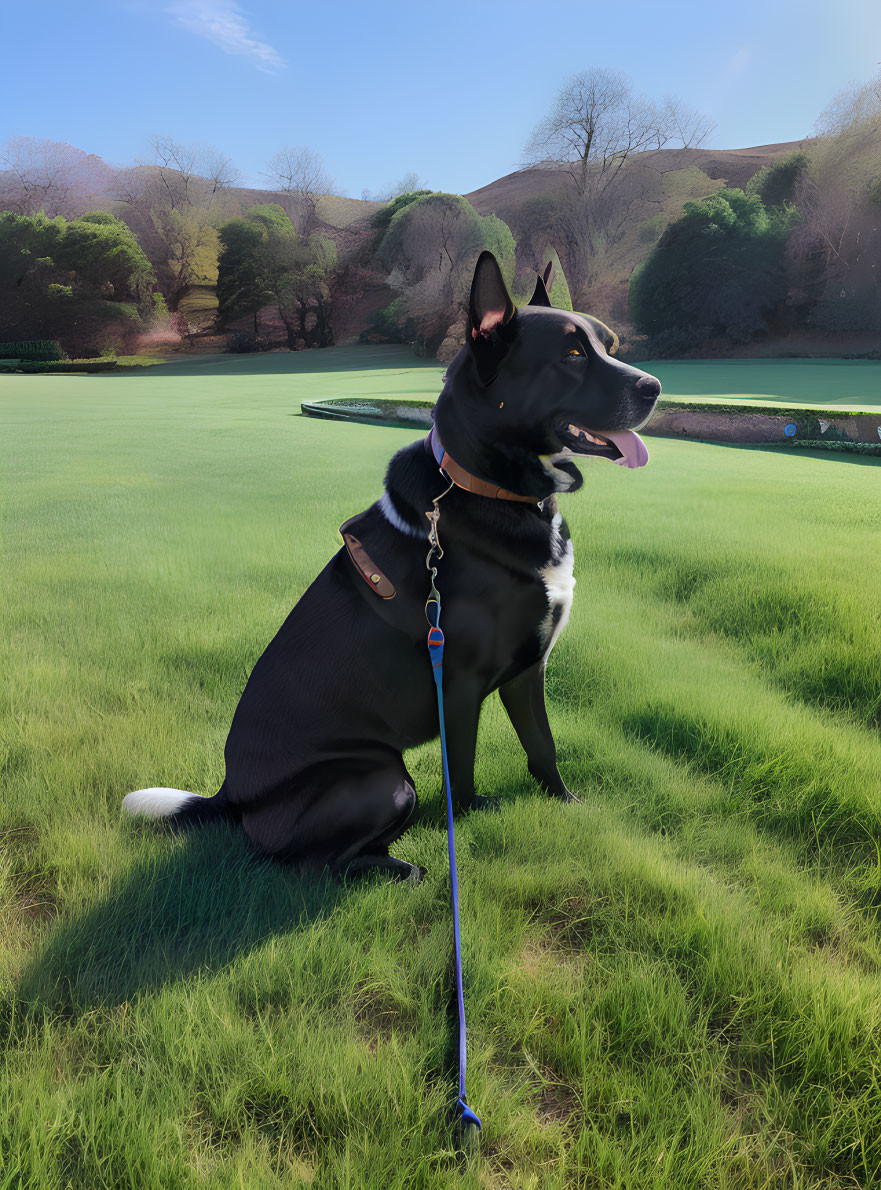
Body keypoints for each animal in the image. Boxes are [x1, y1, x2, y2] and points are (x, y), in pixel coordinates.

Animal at [125, 253, 661, 885]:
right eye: (572, 355)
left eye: (609, 344)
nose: (655, 388)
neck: (493, 492)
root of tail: (233, 797)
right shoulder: (458, 683)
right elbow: (462, 774)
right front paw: (467, 823)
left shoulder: (529, 669)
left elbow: (543, 748)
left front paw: (566, 803)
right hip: (385, 780)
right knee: (313, 865)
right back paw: (402, 869)